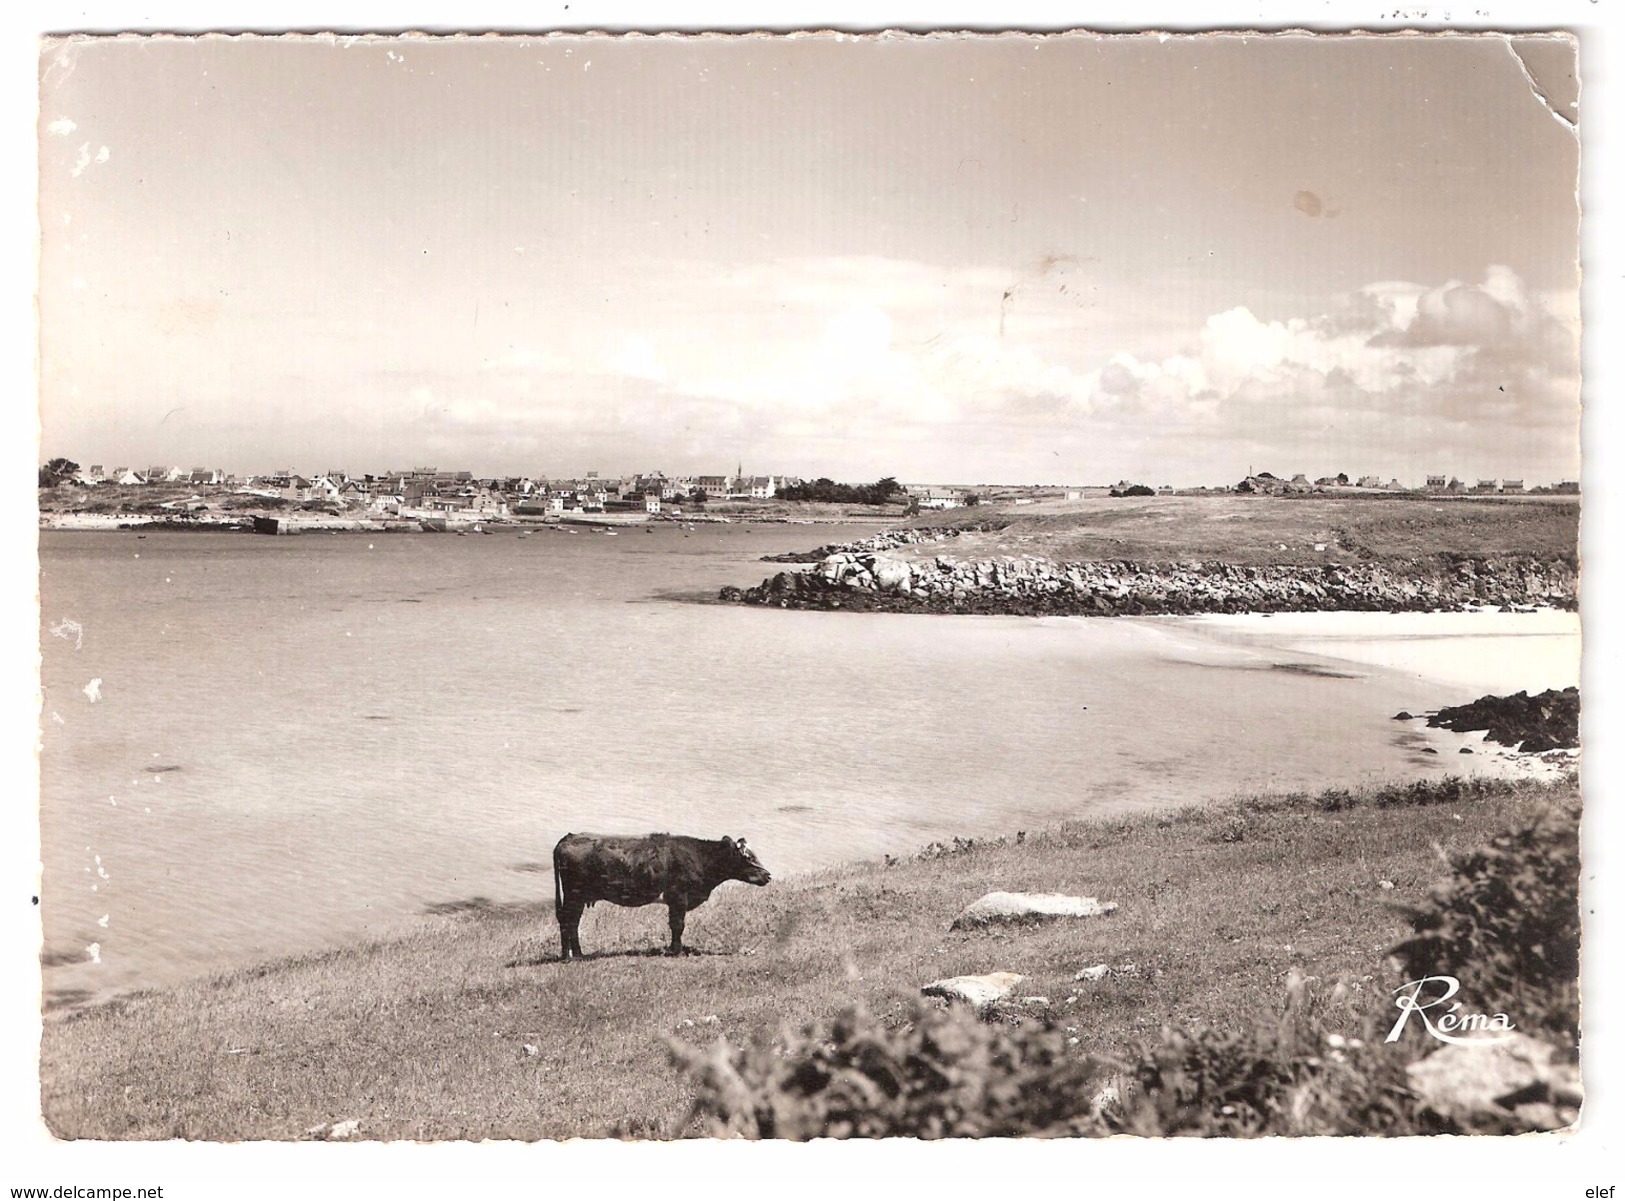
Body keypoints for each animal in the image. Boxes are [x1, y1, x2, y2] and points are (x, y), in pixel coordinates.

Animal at [552, 832, 767, 962]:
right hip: (574, 895)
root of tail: (569, 837)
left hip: (577, 897)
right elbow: (678, 925)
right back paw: (570, 956)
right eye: (749, 857)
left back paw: (577, 954)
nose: (768, 875)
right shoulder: (679, 896)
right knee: (568, 921)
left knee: (571, 921)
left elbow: (674, 925)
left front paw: (673, 949)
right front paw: (676, 951)